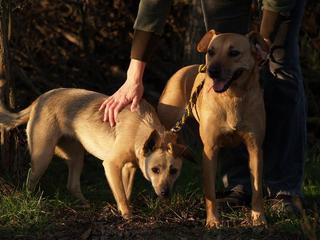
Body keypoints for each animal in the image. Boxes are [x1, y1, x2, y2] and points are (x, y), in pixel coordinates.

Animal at [0, 88, 185, 219]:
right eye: (155, 170)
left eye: (174, 171)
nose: (165, 193)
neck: (142, 127)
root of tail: (39, 100)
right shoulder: (111, 165)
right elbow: (121, 194)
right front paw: (127, 215)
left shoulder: (129, 168)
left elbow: (125, 191)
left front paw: (123, 209)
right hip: (42, 157)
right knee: (30, 180)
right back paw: (32, 201)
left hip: (76, 156)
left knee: (72, 184)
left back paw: (86, 205)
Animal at [158, 30, 268, 227]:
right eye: (211, 52)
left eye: (234, 53)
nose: (212, 71)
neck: (232, 97)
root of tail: (183, 70)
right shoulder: (210, 149)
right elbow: (209, 191)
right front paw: (213, 221)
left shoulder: (255, 148)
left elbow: (257, 188)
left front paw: (258, 217)